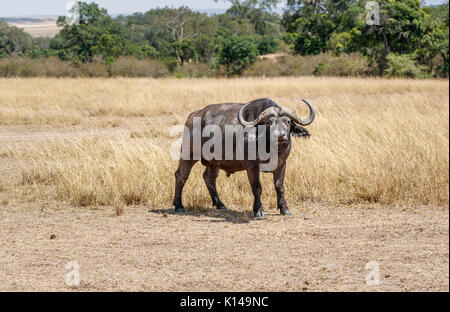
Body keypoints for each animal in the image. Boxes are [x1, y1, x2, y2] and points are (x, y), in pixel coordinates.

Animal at [174, 97, 314, 217]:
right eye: (268, 122)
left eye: (288, 121)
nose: (280, 135)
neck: (271, 148)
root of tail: (193, 115)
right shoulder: (251, 165)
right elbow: (257, 187)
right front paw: (259, 210)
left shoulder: (282, 163)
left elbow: (279, 186)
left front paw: (284, 209)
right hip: (188, 154)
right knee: (181, 176)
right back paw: (179, 206)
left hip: (214, 162)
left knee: (209, 178)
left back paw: (220, 205)